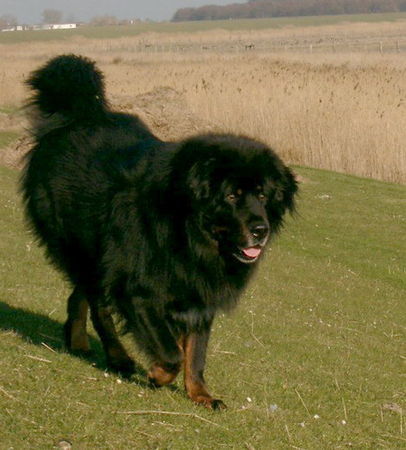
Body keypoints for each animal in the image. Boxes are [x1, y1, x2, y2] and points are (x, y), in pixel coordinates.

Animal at [20, 54, 296, 410]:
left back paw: (77, 340)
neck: (186, 234)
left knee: (79, 296)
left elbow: (195, 353)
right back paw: (118, 357)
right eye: (232, 196)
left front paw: (201, 394)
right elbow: (172, 353)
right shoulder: (137, 289)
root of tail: (77, 117)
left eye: (262, 196)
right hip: (83, 248)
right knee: (98, 305)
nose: (261, 229)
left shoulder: (199, 295)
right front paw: (156, 375)